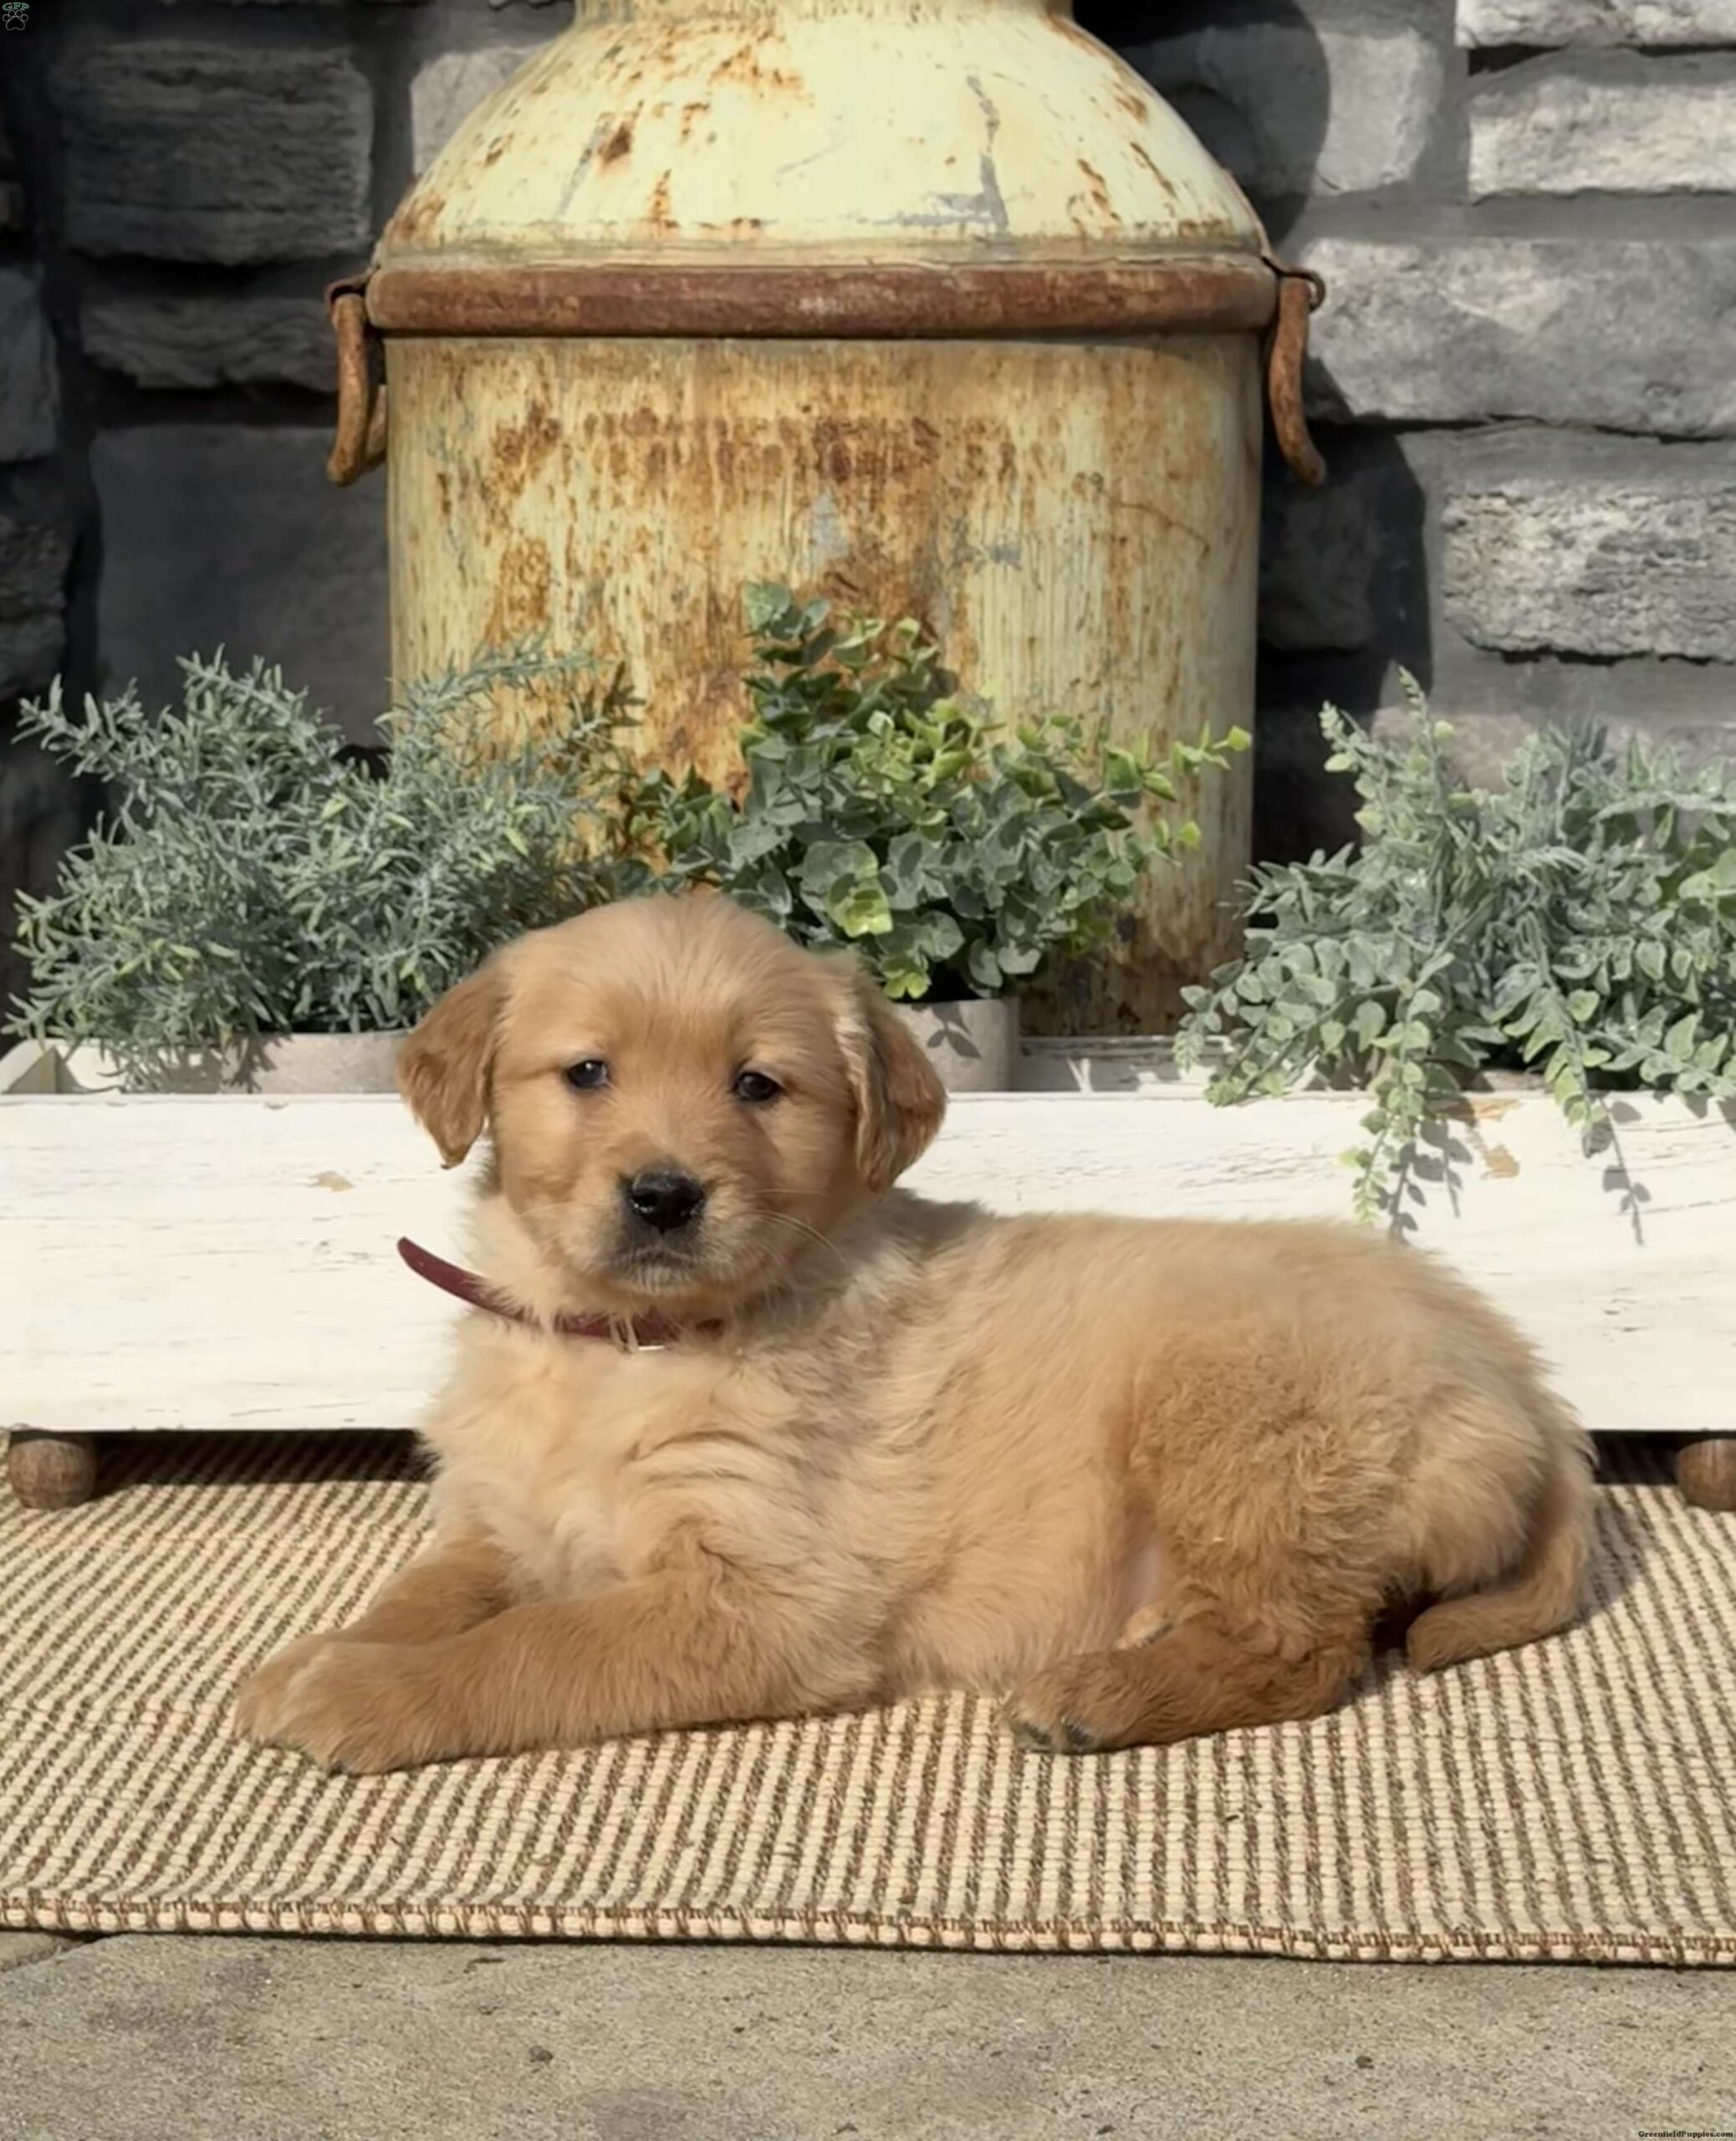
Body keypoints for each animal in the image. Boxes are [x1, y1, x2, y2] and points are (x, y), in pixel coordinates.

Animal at [236, 894, 1594, 1773]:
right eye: (586, 1073)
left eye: (757, 1086)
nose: (665, 1195)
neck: (620, 1348)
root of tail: (1525, 1378)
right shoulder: (499, 1523)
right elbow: (427, 1591)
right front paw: (321, 1653)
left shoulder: (769, 1594)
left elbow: (537, 1645)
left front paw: (366, 1691)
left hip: (1236, 1415)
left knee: (1307, 1649)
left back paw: (1098, 1693)